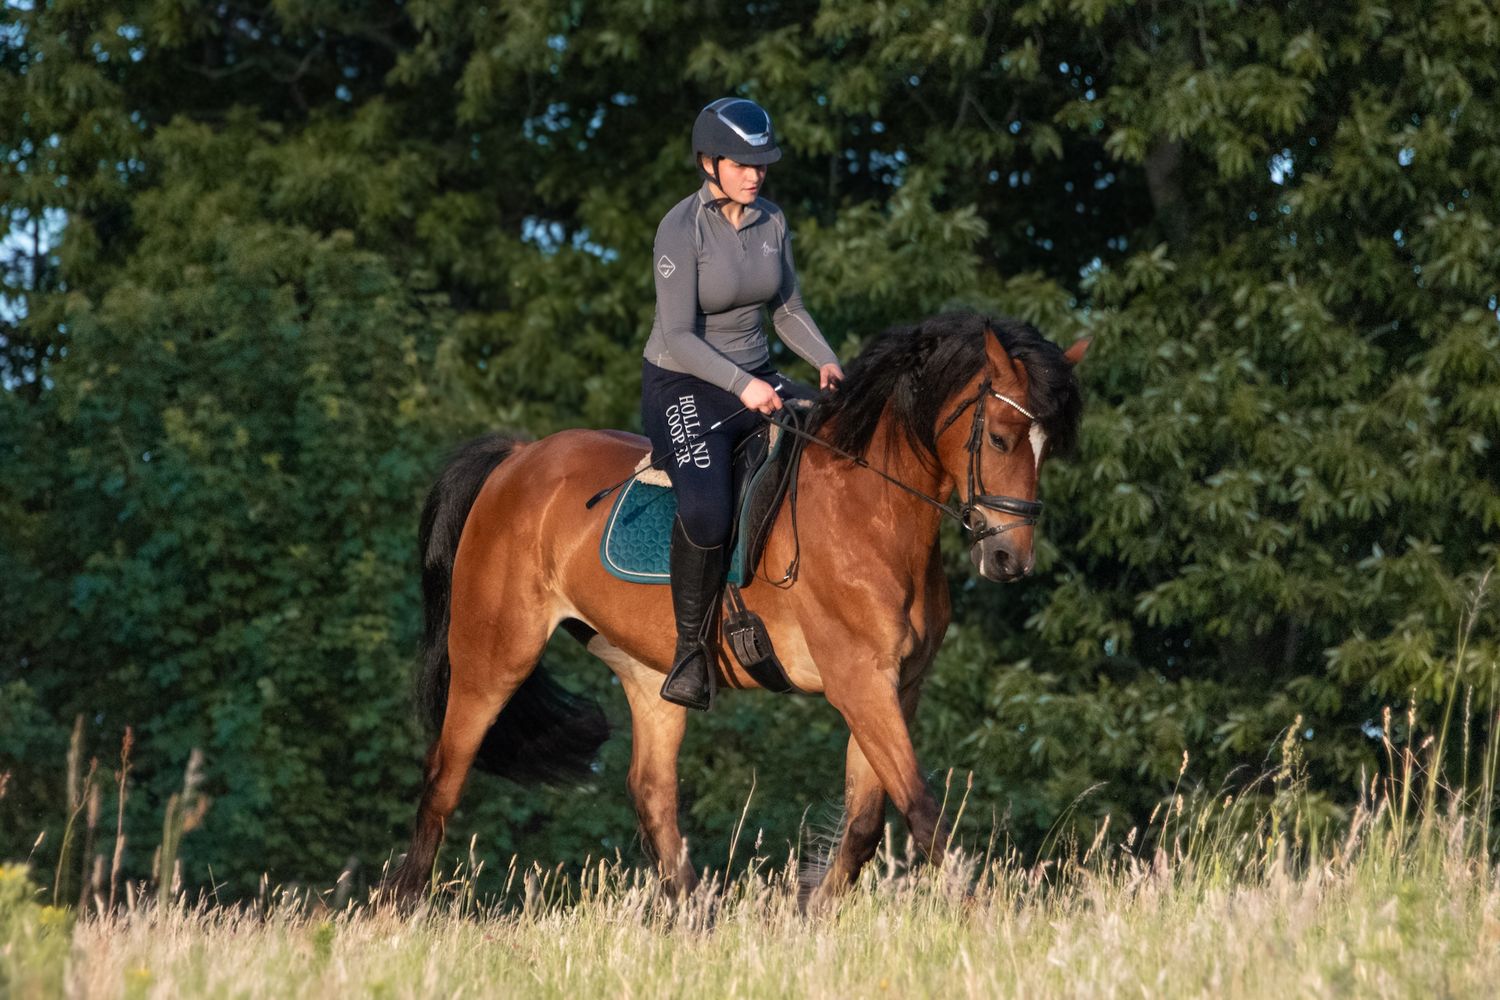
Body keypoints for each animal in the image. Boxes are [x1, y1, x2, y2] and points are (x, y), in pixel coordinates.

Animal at [385, 311, 1087, 907]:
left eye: (1048, 448)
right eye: (999, 438)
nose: (1010, 559)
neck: (873, 508)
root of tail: (517, 459)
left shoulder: (897, 687)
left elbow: (865, 824)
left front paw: (812, 919)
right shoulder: (860, 683)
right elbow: (920, 809)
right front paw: (981, 915)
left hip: (651, 674)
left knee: (651, 794)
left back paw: (698, 919)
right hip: (493, 658)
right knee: (443, 779)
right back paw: (403, 912)